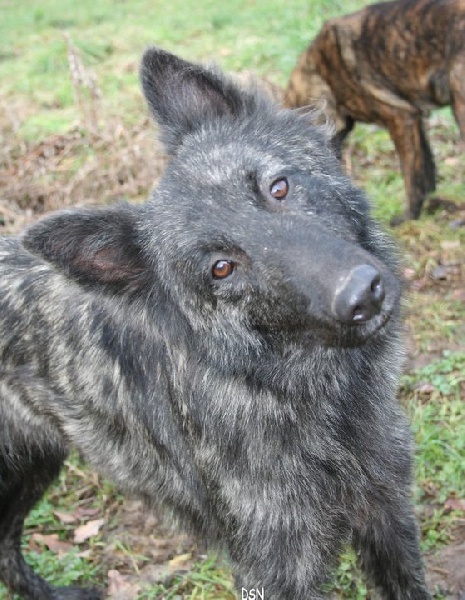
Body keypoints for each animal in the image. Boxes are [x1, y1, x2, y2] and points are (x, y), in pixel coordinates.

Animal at [284, 0, 464, 221]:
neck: (319, 72)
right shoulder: (415, 120)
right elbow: (427, 168)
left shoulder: (401, 118)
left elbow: (413, 176)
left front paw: (408, 218)